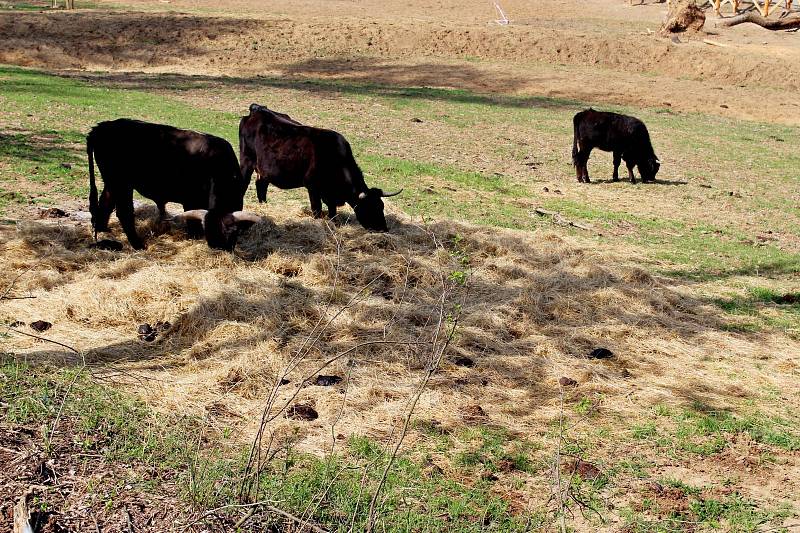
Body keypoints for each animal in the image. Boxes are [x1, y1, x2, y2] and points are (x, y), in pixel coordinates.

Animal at [90, 118, 260, 249]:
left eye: (232, 233)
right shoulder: (191, 199)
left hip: (112, 183)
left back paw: (103, 230)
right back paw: (138, 245)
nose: (219, 249)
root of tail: (101, 127)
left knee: (105, 203)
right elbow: (192, 224)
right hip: (121, 183)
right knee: (123, 212)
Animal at [238, 103, 400, 230]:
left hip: (264, 169)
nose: (384, 229)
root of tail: (258, 110)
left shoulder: (330, 194)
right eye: (370, 207)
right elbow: (316, 209)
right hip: (246, 160)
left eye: (381, 206)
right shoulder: (313, 187)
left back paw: (264, 206)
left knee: (261, 185)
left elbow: (332, 211)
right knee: (245, 183)